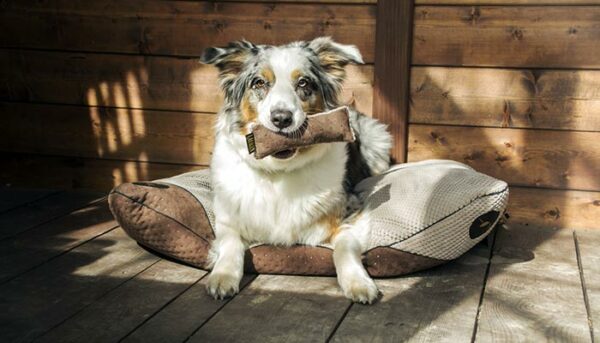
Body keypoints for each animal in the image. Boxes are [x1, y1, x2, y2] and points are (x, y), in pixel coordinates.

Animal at [199, 37, 392, 306]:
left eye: (303, 83)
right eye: (259, 83)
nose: (281, 118)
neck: (279, 172)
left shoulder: (350, 212)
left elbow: (345, 247)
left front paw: (359, 283)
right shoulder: (227, 218)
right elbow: (230, 243)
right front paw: (223, 276)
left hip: (378, 138)